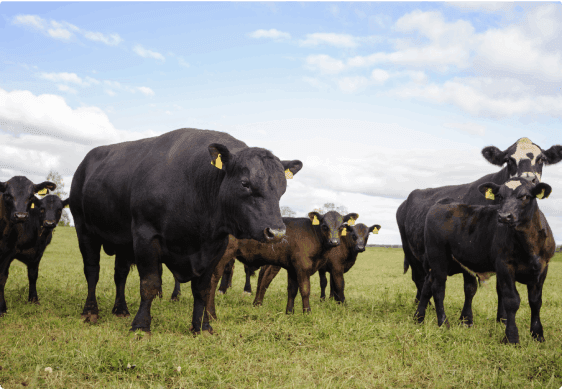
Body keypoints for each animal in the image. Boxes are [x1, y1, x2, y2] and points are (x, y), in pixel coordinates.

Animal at [69, 128, 304, 334]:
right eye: (245, 183)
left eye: (282, 188)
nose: (276, 232)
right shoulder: (146, 236)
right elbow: (149, 283)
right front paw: (141, 326)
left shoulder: (215, 247)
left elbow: (203, 289)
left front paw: (201, 327)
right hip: (84, 230)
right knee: (92, 271)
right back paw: (90, 311)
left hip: (123, 243)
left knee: (120, 274)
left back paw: (120, 309)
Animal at [398, 138, 560, 326]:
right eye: (509, 160)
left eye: (542, 159)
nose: (529, 179)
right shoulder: (469, 253)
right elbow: (470, 287)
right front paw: (466, 319)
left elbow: (501, 289)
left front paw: (502, 318)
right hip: (412, 253)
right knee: (420, 279)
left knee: (427, 282)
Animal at [414, 177, 556, 344]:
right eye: (499, 196)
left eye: (525, 196)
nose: (504, 216)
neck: (529, 245)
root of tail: (443, 202)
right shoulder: (504, 266)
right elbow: (512, 300)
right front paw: (511, 337)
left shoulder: (542, 268)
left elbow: (535, 302)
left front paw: (538, 334)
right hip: (438, 258)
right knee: (438, 289)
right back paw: (443, 323)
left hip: (442, 263)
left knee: (427, 285)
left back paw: (419, 318)